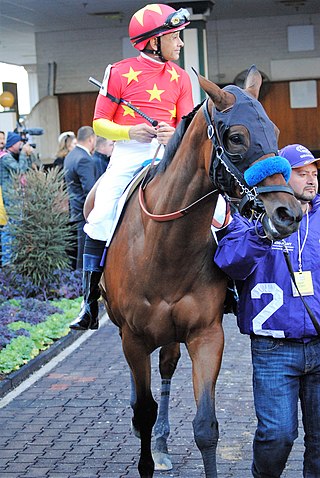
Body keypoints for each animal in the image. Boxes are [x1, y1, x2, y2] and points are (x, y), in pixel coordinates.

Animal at [88, 65, 302, 476]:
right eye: (236, 137)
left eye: (274, 130)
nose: (288, 213)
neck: (164, 248)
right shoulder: (133, 338)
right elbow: (144, 410)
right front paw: (145, 451)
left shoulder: (206, 334)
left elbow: (206, 426)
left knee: (167, 367)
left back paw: (162, 443)